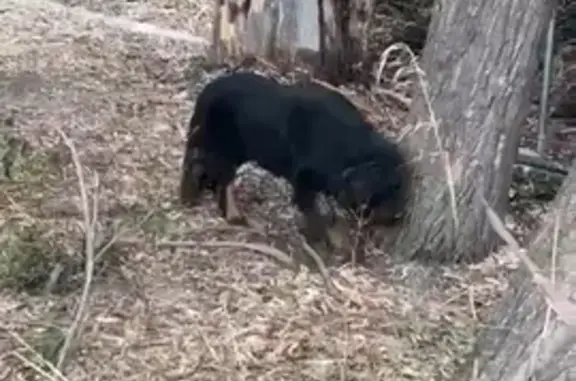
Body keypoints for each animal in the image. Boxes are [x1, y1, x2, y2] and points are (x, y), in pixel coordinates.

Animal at [180, 70, 410, 262]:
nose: (398, 215)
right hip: (225, 148)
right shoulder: (304, 179)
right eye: (388, 190)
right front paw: (323, 244)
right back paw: (232, 214)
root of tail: (207, 91)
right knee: (212, 174)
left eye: (400, 186)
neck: (350, 154)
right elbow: (315, 215)